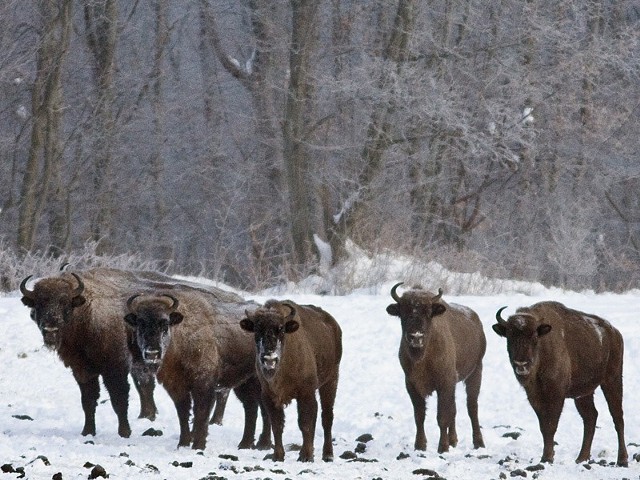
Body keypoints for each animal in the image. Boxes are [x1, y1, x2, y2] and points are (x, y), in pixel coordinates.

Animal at [124, 290, 272, 452]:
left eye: (165, 324)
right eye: (140, 324)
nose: (152, 353)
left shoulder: (203, 385)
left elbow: (201, 413)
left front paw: (198, 446)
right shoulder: (177, 388)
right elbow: (183, 413)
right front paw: (182, 443)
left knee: (263, 409)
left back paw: (263, 444)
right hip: (243, 384)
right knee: (251, 408)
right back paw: (245, 444)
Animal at [239, 300, 342, 462]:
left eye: (281, 329)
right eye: (257, 330)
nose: (269, 358)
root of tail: (334, 325)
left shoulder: (305, 393)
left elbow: (305, 423)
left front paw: (306, 456)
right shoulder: (270, 396)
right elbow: (277, 425)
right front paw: (278, 456)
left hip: (331, 381)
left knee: (326, 416)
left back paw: (328, 454)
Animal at [384, 284, 484, 452]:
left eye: (428, 313)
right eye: (403, 311)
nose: (416, 337)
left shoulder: (444, 384)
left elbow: (442, 416)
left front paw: (442, 447)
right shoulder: (412, 385)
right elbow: (419, 416)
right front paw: (420, 446)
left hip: (475, 372)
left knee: (472, 407)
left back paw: (478, 442)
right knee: (454, 409)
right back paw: (453, 441)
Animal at [492, 302, 628, 466]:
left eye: (534, 336)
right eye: (509, 336)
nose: (521, 364)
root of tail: (615, 333)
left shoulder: (556, 395)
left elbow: (551, 426)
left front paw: (547, 458)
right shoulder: (535, 397)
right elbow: (544, 426)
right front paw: (546, 456)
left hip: (612, 380)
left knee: (617, 417)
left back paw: (622, 460)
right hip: (584, 394)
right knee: (590, 417)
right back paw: (581, 458)